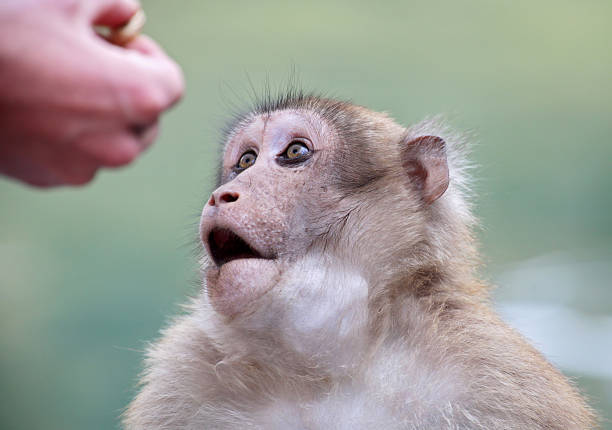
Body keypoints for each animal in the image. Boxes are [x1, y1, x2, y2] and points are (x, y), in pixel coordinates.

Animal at [122, 91, 596, 430]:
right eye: (246, 161)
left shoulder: (498, 382)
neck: (328, 367)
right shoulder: (181, 383)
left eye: (294, 153)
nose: (223, 194)